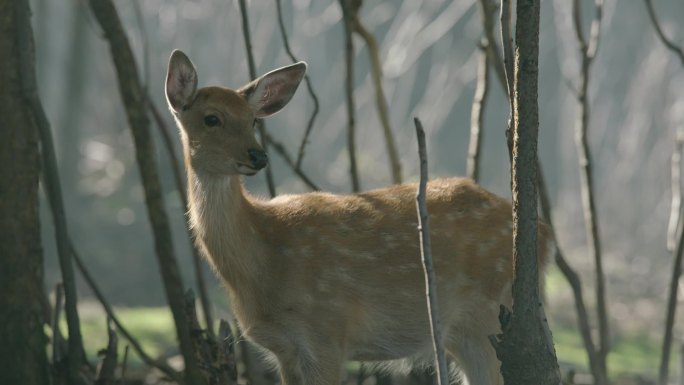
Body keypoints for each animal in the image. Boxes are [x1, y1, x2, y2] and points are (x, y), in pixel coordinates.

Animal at [167, 49, 556, 384]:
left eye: (252, 120)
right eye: (211, 118)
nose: (258, 156)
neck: (262, 258)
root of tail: (544, 234)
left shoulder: (327, 330)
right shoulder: (284, 350)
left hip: (491, 316)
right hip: (466, 332)